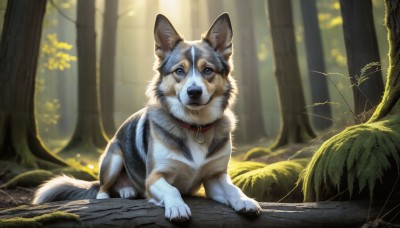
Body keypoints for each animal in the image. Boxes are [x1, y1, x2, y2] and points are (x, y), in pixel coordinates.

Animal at [32, 12, 260, 223]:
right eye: (179, 70)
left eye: (208, 70)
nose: (194, 92)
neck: (194, 125)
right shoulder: (154, 177)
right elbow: (172, 189)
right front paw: (177, 207)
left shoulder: (215, 177)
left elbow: (233, 189)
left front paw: (245, 200)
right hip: (114, 156)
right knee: (103, 188)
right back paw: (115, 194)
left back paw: (128, 190)